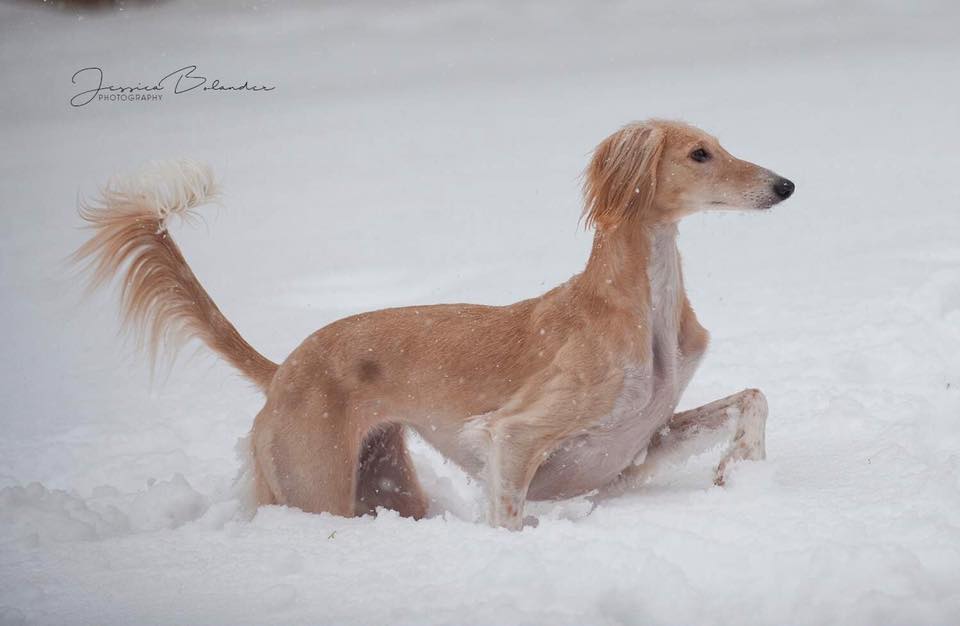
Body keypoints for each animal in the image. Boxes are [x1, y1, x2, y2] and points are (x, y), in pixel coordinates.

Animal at [73, 119, 794, 529]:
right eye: (699, 154)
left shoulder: (638, 442)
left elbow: (753, 398)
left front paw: (739, 472)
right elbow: (508, 515)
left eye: (719, 145)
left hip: (386, 479)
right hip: (315, 487)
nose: (785, 185)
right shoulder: (514, 435)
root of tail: (284, 370)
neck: (638, 302)